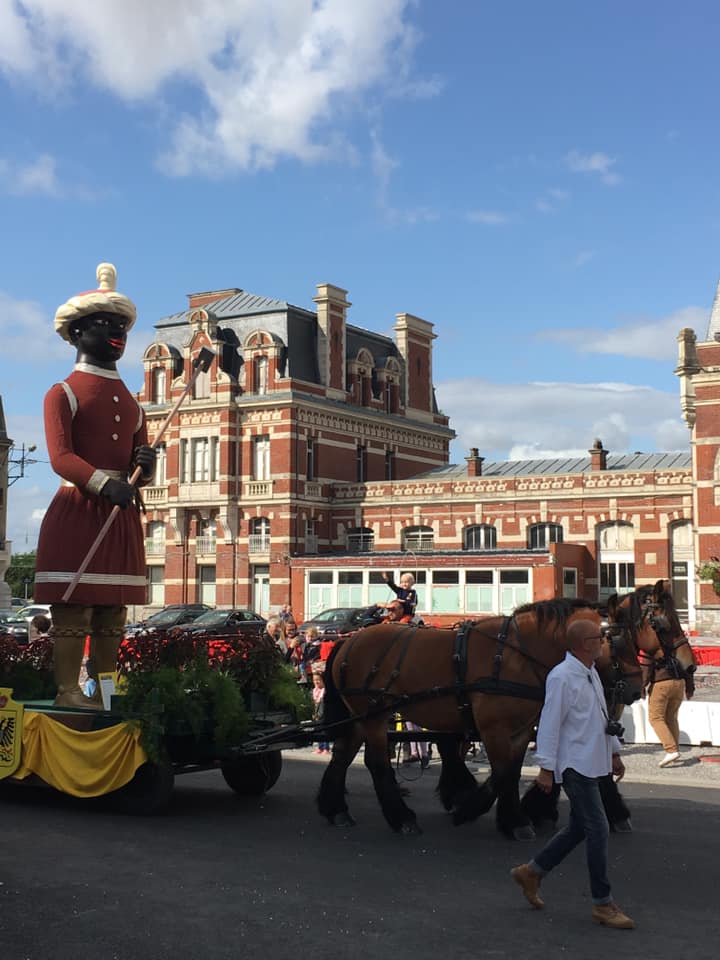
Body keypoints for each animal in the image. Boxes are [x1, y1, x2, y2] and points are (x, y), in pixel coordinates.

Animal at [316, 600, 640, 840]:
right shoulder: (494, 728)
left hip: (360, 717)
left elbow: (510, 771)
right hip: (373, 716)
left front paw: (498, 814)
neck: (516, 655)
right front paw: (508, 819)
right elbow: (503, 771)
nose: (636, 689)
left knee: (342, 755)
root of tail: (348, 642)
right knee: (376, 763)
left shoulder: (521, 730)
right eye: (616, 640)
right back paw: (401, 817)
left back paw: (336, 809)